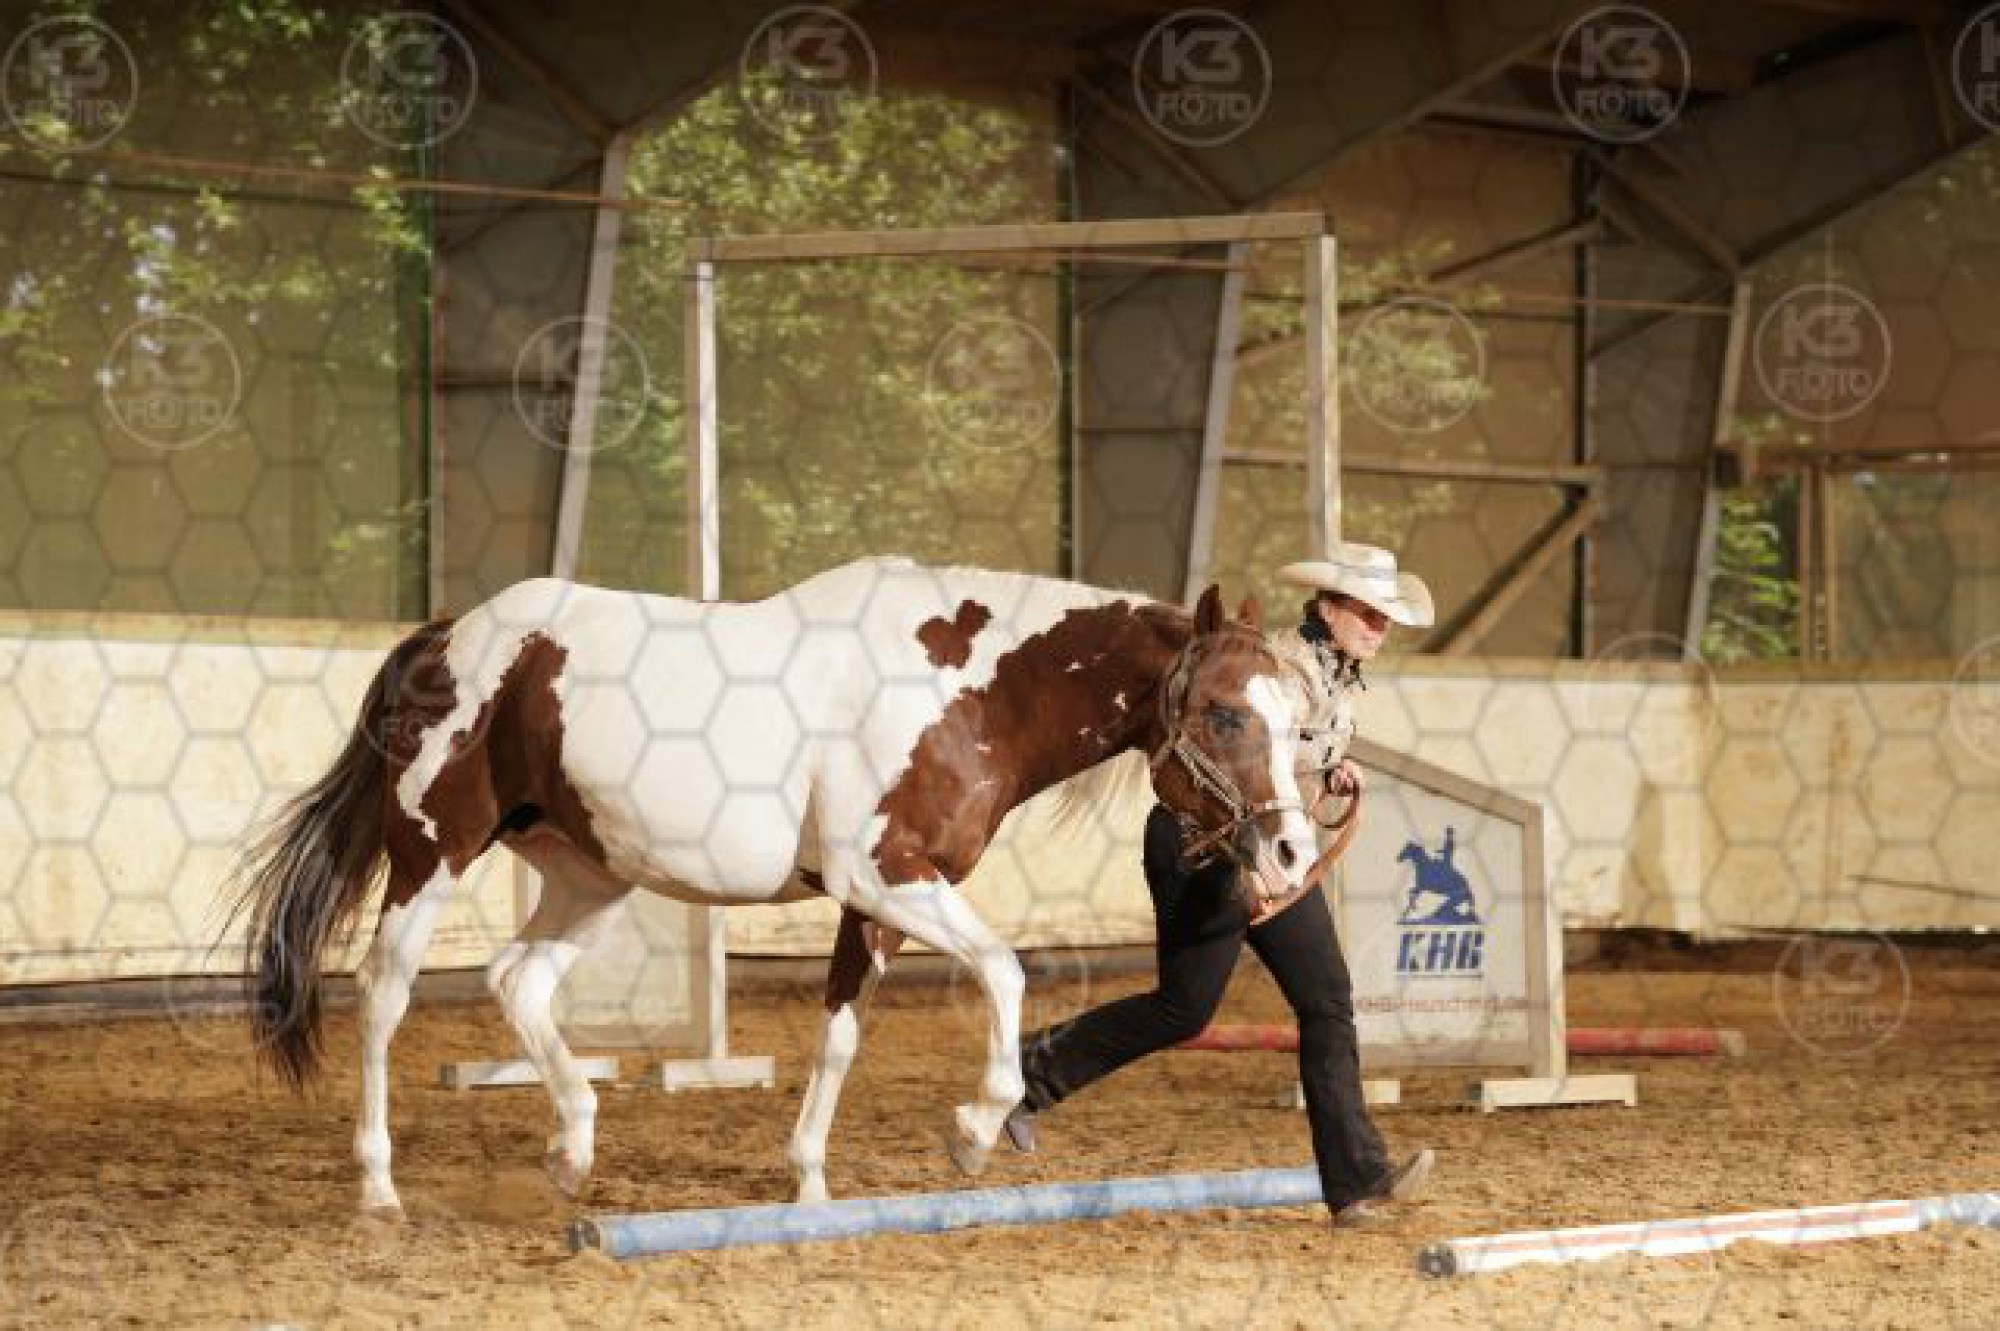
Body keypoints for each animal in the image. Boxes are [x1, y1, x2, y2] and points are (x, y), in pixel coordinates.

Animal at [226, 555, 1320, 1216]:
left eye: (1295, 714)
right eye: (1224, 712)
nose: (1287, 852)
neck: (968, 689)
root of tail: (449, 635)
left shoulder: (873, 901)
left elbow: (840, 1032)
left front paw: (809, 1180)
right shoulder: (883, 875)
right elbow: (1005, 969)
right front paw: (973, 1130)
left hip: (589, 875)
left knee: (516, 981)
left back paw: (572, 1147)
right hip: (433, 853)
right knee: (384, 993)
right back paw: (378, 1184)